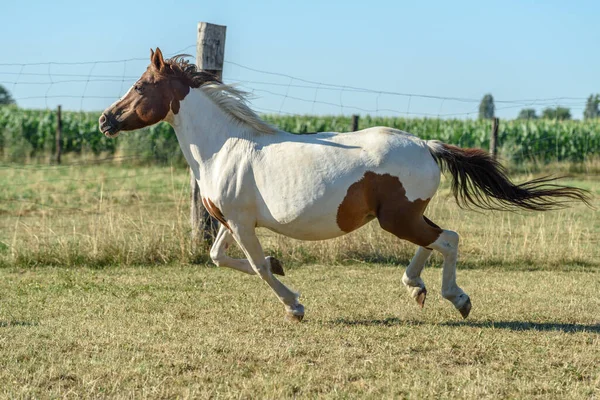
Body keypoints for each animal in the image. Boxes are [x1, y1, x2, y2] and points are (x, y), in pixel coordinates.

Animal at [96, 47, 588, 322]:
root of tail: (427, 145)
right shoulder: (231, 221)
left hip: (396, 218)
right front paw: (280, 264)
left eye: (140, 86)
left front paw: (294, 305)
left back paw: (457, 298)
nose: (104, 121)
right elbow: (221, 258)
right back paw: (417, 287)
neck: (224, 147)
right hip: (406, 215)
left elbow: (254, 267)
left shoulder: (241, 222)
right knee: (433, 240)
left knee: (447, 238)